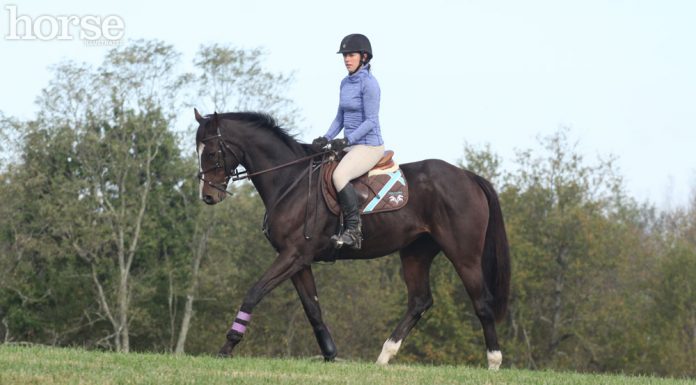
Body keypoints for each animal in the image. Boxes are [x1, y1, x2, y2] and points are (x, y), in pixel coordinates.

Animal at [196, 109, 512, 368]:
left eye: (210, 152)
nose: (208, 196)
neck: (290, 180)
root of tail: (469, 177)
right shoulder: (298, 259)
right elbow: (312, 307)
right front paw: (329, 353)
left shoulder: (293, 255)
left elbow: (254, 292)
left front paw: (227, 346)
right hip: (416, 252)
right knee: (419, 301)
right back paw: (384, 356)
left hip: (464, 254)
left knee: (482, 302)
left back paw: (494, 361)